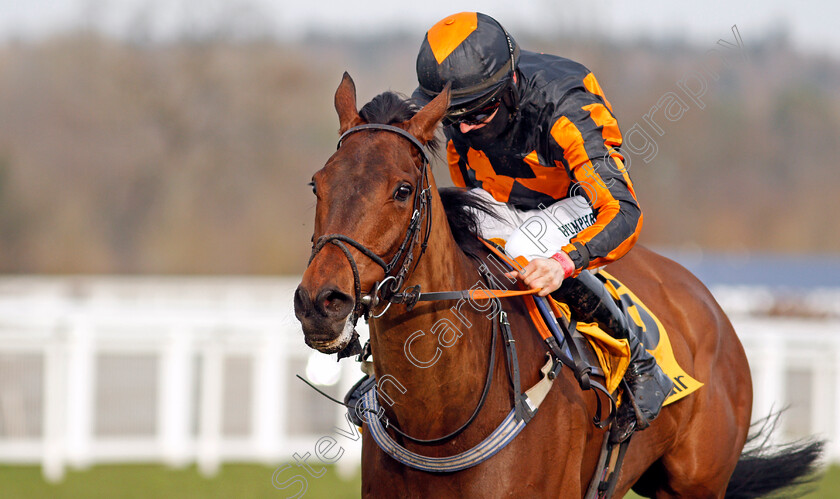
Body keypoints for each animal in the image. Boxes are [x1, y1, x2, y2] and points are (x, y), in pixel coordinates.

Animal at [294, 72, 820, 498]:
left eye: (403, 190)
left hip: (697, 484)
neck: (441, 423)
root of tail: (709, 305)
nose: (321, 303)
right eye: (318, 183)